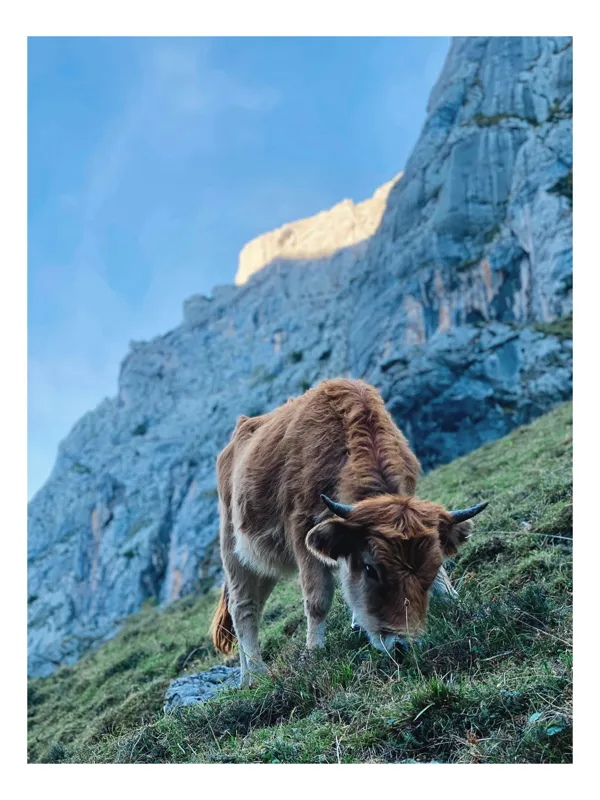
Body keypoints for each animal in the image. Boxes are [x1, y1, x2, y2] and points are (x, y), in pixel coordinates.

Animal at [210, 378, 487, 686]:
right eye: (370, 568)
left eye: (430, 567)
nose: (403, 646)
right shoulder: (302, 530)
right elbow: (318, 598)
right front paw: (313, 652)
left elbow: (441, 580)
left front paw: (457, 603)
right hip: (235, 551)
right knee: (243, 608)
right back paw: (255, 675)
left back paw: (247, 673)